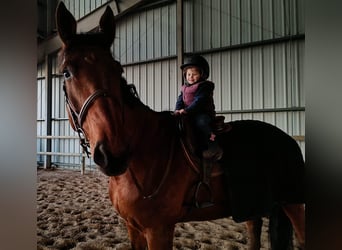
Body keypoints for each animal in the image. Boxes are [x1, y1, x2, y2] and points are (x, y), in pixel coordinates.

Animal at [55, 2, 304, 250]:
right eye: (66, 72)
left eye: (118, 70)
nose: (114, 154)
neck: (144, 152)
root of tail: (288, 140)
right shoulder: (133, 227)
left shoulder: (158, 230)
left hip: (293, 203)